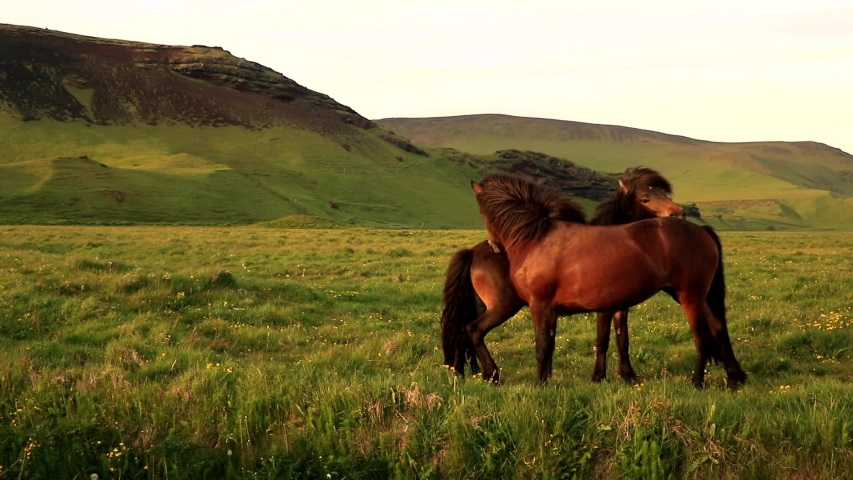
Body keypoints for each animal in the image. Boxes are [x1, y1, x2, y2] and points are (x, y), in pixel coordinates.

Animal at [467, 173, 745, 390]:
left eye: (480, 210)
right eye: (646, 198)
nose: (495, 245)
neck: (537, 238)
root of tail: (701, 230)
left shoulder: (541, 305)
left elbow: (543, 346)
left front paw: (540, 385)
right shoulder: (562, 309)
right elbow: (558, 345)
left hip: (689, 296)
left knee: (702, 336)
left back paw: (698, 382)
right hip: (697, 296)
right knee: (718, 327)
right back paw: (733, 379)